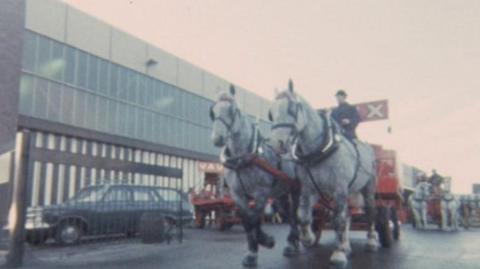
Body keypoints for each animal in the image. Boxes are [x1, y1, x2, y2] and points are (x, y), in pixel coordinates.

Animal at [210, 85, 300, 266]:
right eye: (213, 111)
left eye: (233, 110)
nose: (217, 138)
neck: (242, 159)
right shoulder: (237, 195)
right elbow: (248, 222)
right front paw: (253, 250)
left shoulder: (261, 193)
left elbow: (254, 219)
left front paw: (265, 242)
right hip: (282, 193)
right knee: (288, 214)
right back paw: (292, 243)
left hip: (295, 189)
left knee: (295, 214)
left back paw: (295, 241)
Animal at [270, 80, 378, 266]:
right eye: (271, 113)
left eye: (292, 108)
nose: (277, 143)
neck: (320, 150)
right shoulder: (309, 189)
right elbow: (302, 216)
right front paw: (308, 238)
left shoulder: (339, 188)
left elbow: (338, 220)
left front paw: (338, 254)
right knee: (348, 214)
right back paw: (346, 245)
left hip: (367, 188)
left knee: (370, 212)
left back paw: (371, 241)